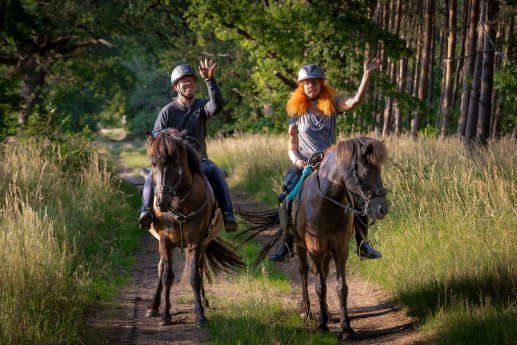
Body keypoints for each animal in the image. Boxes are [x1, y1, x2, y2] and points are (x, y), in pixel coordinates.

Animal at [144, 128, 243, 326]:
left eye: (176, 163)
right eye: (152, 164)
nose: (161, 202)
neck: (179, 205)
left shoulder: (196, 242)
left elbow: (194, 277)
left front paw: (200, 314)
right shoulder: (165, 241)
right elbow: (166, 276)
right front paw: (166, 316)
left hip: (204, 244)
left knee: (200, 265)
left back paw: (203, 301)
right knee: (160, 269)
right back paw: (154, 307)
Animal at [238, 136, 388, 338]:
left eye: (379, 170)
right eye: (368, 171)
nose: (382, 209)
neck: (327, 204)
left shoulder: (340, 250)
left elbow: (341, 287)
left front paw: (346, 328)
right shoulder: (315, 250)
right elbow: (320, 287)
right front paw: (322, 325)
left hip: (326, 253)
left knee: (322, 272)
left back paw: (328, 313)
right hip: (301, 246)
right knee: (303, 272)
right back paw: (307, 311)